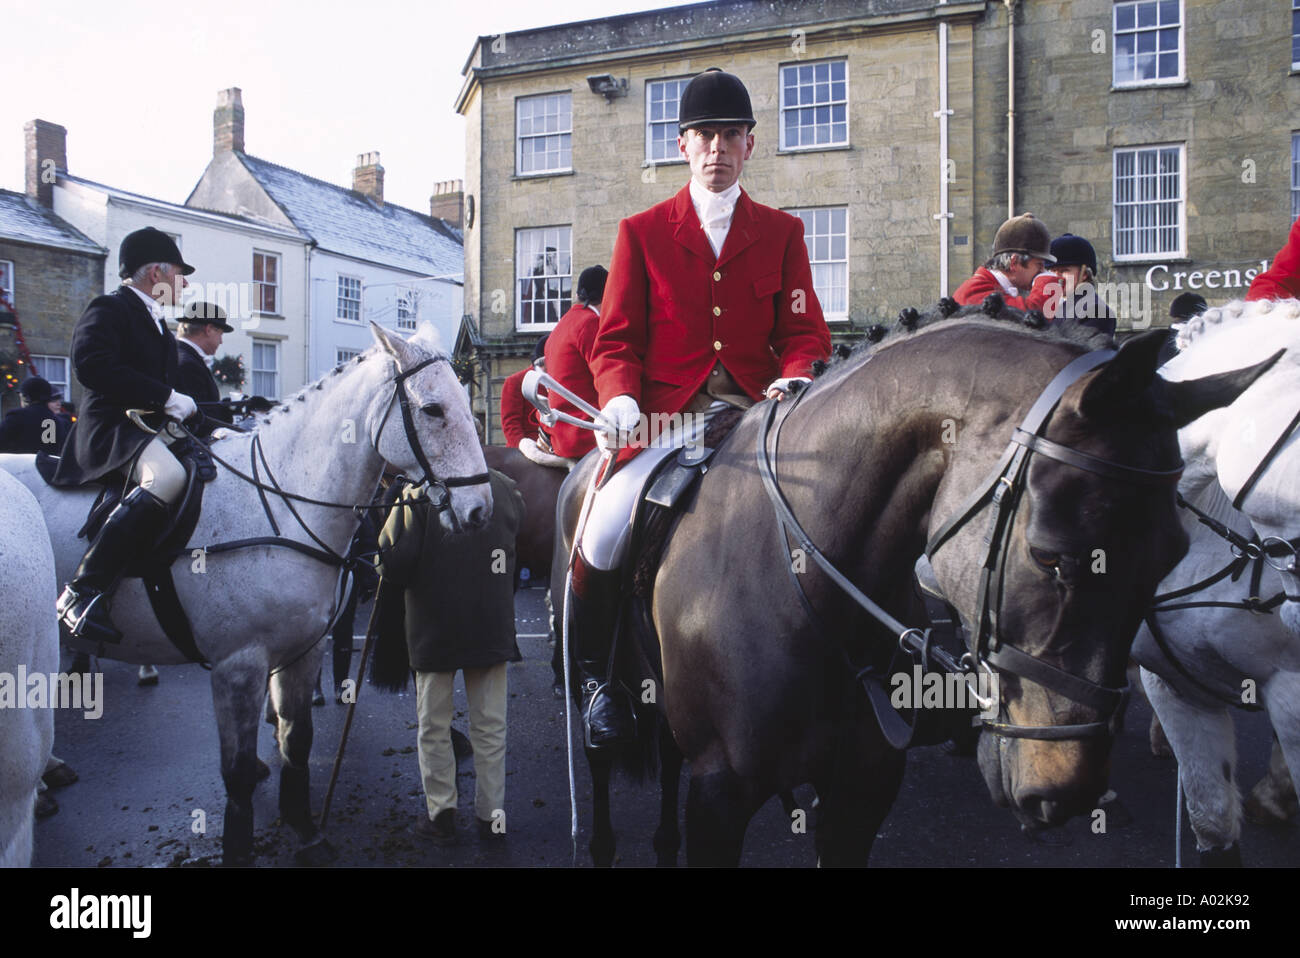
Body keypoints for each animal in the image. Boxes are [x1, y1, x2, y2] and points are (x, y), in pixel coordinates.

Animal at [0, 323, 488, 868]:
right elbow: (235, 774)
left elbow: (298, 740)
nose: (479, 509)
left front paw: (304, 829)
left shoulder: (301, 651)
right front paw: (241, 846)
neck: (280, 502)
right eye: (433, 410)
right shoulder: (238, 665)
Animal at [553, 302, 1274, 863]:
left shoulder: (862, 790)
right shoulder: (720, 795)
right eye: (1050, 557)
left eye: (1170, 556)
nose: (1065, 791)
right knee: (599, 755)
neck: (804, 588)